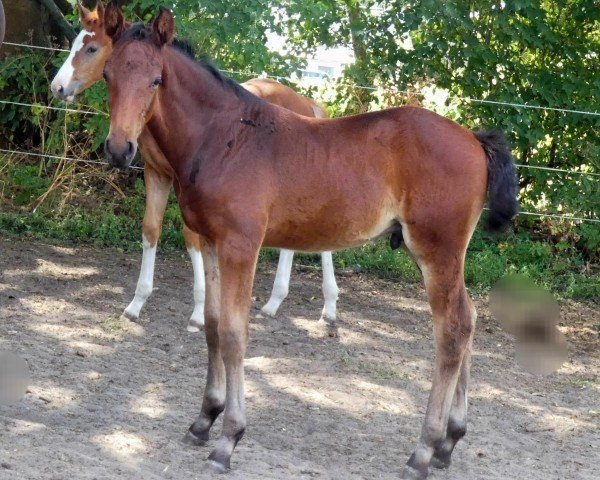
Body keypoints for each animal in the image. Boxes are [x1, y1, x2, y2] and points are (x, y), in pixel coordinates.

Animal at [49, 0, 340, 330]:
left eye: (92, 48)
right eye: (108, 75)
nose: (57, 87)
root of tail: (305, 102)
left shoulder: (184, 184)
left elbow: (192, 238)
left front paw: (199, 312)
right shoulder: (156, 174)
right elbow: (151, 230)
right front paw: (137, 303)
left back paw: (328, 308)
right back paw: (273, 303)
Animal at [102, 8, 516, 480]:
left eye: (156, 79)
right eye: (107, 74)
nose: (119, 149)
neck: (225, 136)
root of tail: (475, 140)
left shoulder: (240, 245)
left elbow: (233, 334)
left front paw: (228, 439)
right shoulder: (209, 241)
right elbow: (210, 326)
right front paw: (204, 419)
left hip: (437, 249)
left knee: (452, 330)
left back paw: (424, 451)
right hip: (436, 253)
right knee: (469, 317)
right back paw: (449, 441)